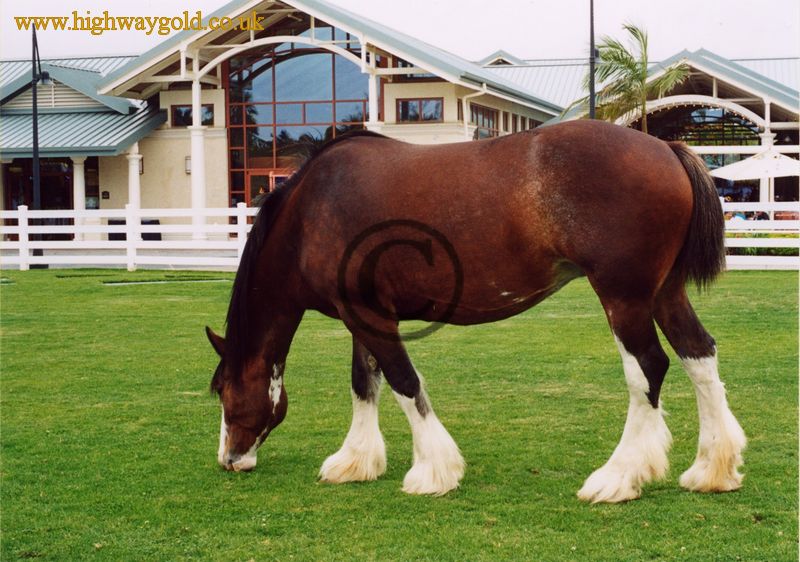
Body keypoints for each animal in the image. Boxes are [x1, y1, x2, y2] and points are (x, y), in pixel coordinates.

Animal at [206, 120, 746, 503]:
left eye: (224, 390)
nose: (229, 458)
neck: (313, 210)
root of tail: (666, 149)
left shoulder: (372, 318)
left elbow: (404, 382)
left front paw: (433, 470)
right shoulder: (362, 314)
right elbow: (365, 383)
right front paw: (356, 461)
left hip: (624, 296)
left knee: (649, 369)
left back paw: (618, 477)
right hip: (664, 293)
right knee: (699, 354)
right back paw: (712, 470)